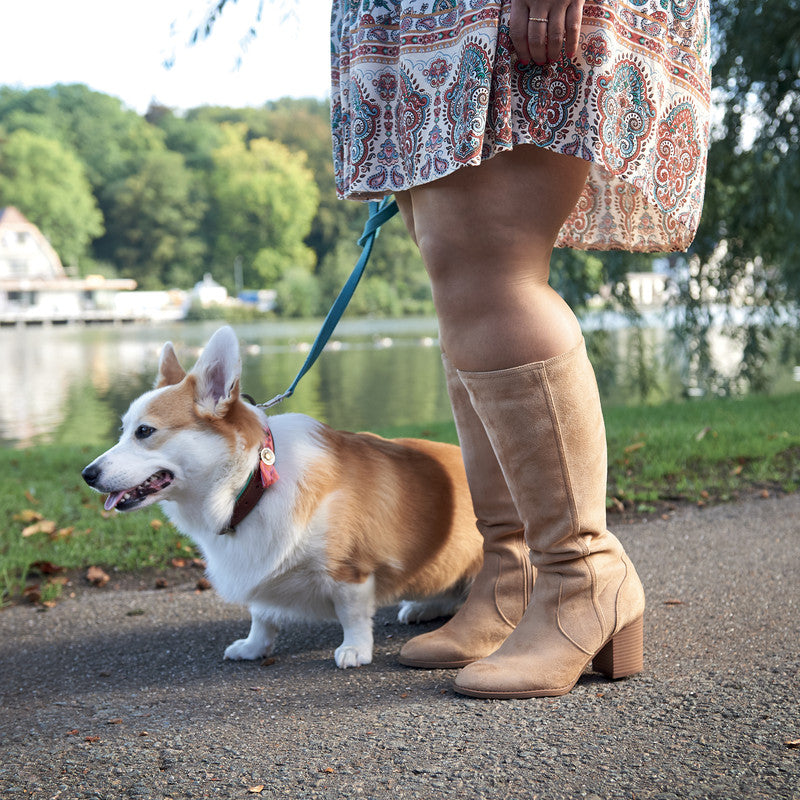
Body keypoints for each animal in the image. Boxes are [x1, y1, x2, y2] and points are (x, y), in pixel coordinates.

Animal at [81, 324, 482, 668]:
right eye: (123, 431)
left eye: (145, 431)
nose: (87, 474)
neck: (250, 484)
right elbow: (261, 615)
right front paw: (254, 646)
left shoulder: (350, 570)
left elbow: (351, 613)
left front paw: (354, 649)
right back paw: (423, 608)